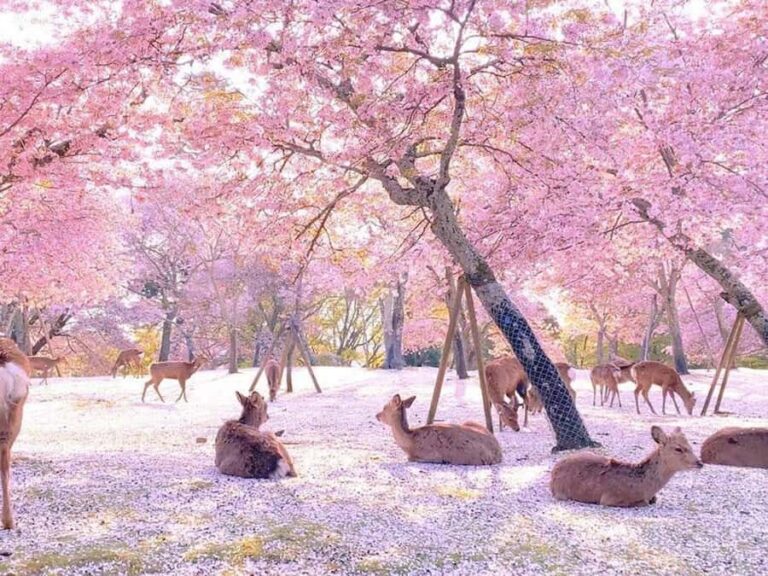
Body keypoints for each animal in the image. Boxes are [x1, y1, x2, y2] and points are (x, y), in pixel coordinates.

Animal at [550, 426, 703, 507]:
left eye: (690, 445)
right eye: (678, 449)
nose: (699, 463)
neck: (644, 487)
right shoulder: (609, 498)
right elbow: (644, 502)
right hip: (561, 493)